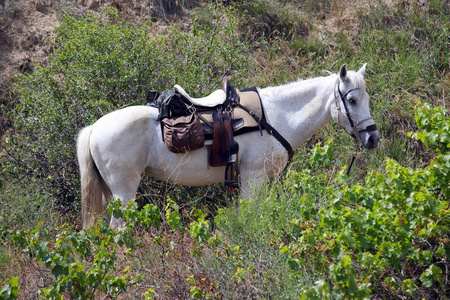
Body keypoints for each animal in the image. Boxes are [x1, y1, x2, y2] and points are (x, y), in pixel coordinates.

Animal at [77, 63, 380, 227]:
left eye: (367, 99)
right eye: (352, 100)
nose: (373, 138)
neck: (275, 117)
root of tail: (94, 128)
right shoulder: (253, 178)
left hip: (109, 192)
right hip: (124, 193)